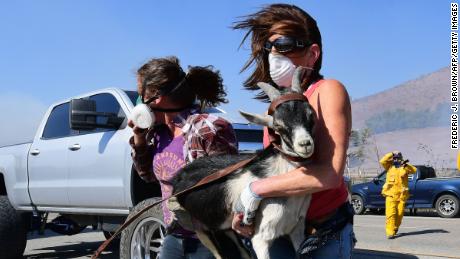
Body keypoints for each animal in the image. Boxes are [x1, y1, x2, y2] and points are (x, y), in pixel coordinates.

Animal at [172, 72, 316, 258]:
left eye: (311, 115)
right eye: (278, 125)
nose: (305, 144)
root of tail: (179, 176)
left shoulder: (297, 228)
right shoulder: (260, 238)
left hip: (225, 226)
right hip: (201, 228)